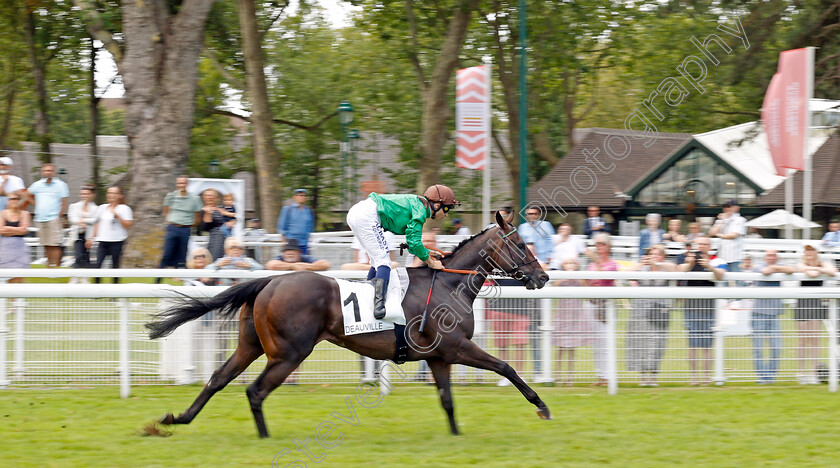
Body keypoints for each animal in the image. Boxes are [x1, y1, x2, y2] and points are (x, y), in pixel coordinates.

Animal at [146, 210, 552, 436]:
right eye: (520, 244)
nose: (543, 277)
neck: (449, 285)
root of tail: (270, 280)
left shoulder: (438, 358)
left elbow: (448, 402)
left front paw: (455, 436)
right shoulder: (458, 348)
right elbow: (506, 367)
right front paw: (541, 406)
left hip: (251, 345)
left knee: (218, 379)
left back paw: (177, 419)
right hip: (289, 353)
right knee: (255, 391)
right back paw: (263, 437)